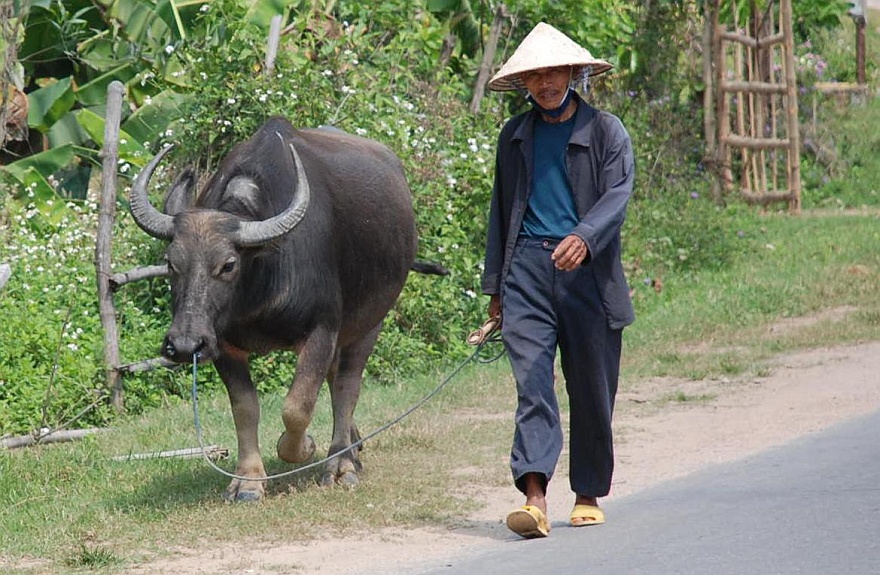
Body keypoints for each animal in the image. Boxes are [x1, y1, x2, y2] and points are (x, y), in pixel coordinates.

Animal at [129, 116, 446, 500]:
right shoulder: (222, 343)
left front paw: (303, 446)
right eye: (171, 262)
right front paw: (249, 480)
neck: (263, 276)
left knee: (347, 386)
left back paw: (341, 463)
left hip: (370, 321)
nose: (185, 345)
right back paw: (353, 445)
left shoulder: (322, 329)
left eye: (228, 265)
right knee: (335, 379)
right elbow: (245, 407)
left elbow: (298, 406)